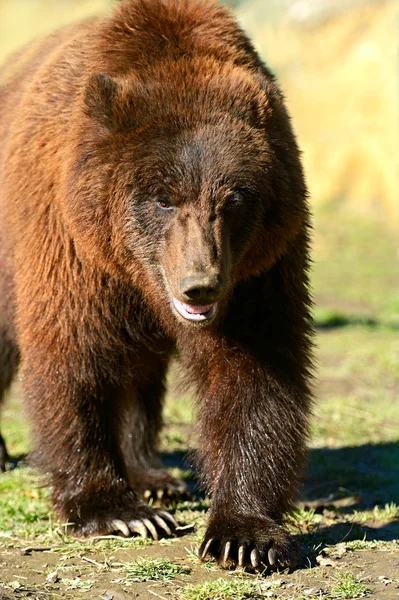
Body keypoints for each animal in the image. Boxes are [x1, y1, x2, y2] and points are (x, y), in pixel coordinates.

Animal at [0, 0, 314, 568]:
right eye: (164, 198)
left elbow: (255, 372)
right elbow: (73, 359)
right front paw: (119, 511)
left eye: (233, 199)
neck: (139, 274)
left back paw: (152, 473)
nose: (199, 286)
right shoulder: (73, 248)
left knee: (142, 372)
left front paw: (243, 534)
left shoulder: (257, 272)